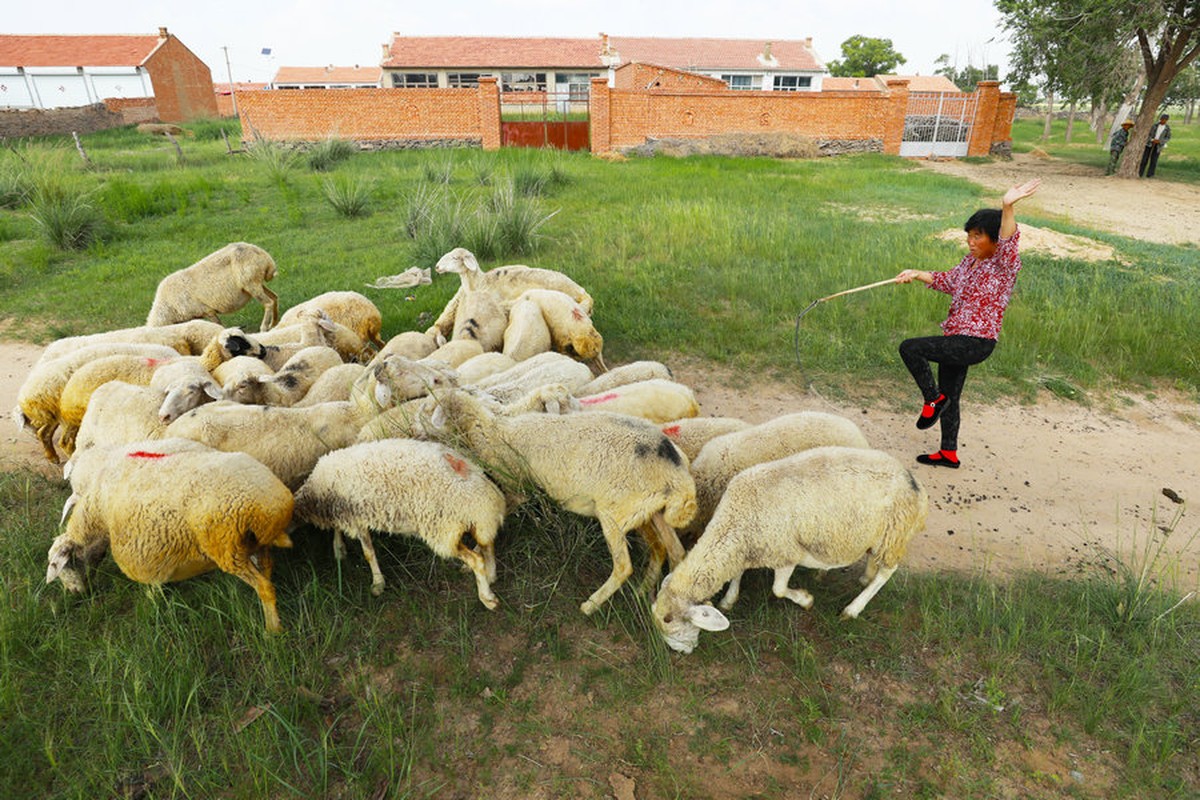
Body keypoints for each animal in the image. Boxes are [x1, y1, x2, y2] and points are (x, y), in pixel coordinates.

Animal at [46, 438, 295, 633]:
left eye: (65, 566)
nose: (75, 593)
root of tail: (270, 508)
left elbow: (152, 580)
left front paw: (153, 597)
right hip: (255, 545)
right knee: (267, 571)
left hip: (228, 549)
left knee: (264, 588)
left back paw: (272, 630)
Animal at [145, 242, 280, 333]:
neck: (167, 307)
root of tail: (265, 257)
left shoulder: (207, 310)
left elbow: (219, 325)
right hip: (255, 283)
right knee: (274, 298)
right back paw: (273, 324)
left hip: (250, 283)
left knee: (268, 303)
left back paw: (264, 328)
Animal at [300, 438, 511, 606]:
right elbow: (339, 530)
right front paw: (339, 549)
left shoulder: (355, 516)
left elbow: (368, 553)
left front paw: (377, 583)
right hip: (480, 519)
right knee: (487, 544)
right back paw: (491, 575)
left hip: (444, 528)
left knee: (477, 559)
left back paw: (487, 597)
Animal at [432, 388, 700, 614]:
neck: (495, 429)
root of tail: (679, 476)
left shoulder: (517, 487)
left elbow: (497, 518)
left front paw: (479, 560)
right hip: (650, 511)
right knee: (672, 550)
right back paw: (647, 592)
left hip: (615, 515)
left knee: (624, 566)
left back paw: (591, 604)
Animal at [657, 448, 926, 652]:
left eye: (670, 622)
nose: (681, 652)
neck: (735, 521)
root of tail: (914, 482)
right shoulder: (749, 545)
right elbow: (737, 574)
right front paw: (728, 599)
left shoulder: (785, 552)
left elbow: (777, 589)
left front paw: (806, 600)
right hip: (877, 534)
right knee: (873, 559)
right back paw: (865, 578)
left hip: (893, 531)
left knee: (888, 571)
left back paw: (853, 608)